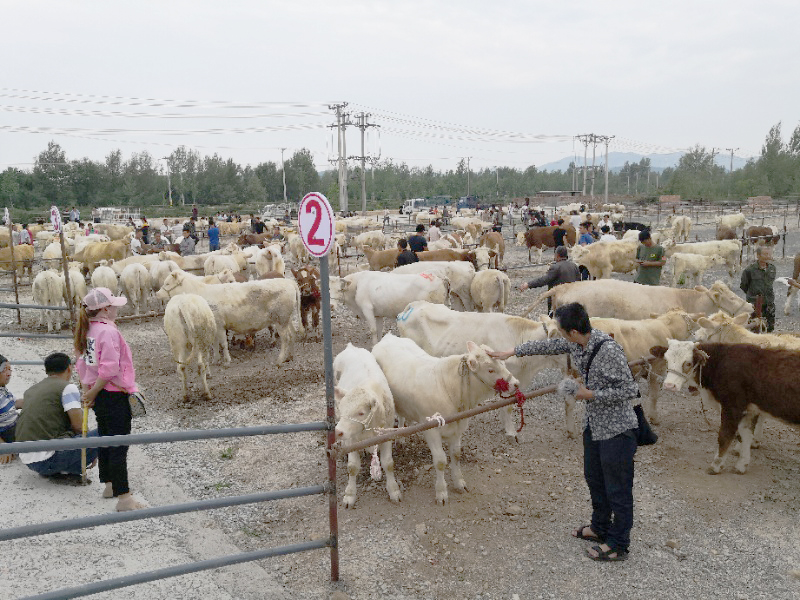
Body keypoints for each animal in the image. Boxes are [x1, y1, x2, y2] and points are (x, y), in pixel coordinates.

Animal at [332, 344, 400, 508]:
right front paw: (350, 495)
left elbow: (388, 463)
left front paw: (394, 490)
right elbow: (352, 467)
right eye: (342, 409)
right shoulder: (350, 440)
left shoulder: (386, 435)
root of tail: (351, 347)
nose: (338, 432)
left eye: (361, 413)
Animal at [374, 336, 520, 504]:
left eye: (503, 363)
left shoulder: (458, 427)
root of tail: (389, 336)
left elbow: (456, 455)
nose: (516, 384)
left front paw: (459, 482)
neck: (448, 388)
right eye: (490, 370)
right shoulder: (431, 431)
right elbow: (440, 461)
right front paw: (441, 491)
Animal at [652, 342, 800, 474]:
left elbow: (724, 435)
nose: (669, 385)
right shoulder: (749, 410)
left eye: (688, 363)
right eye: (666, 360)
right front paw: (741, 465)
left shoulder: (732, 406)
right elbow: (745, 435)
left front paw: (716, 466)